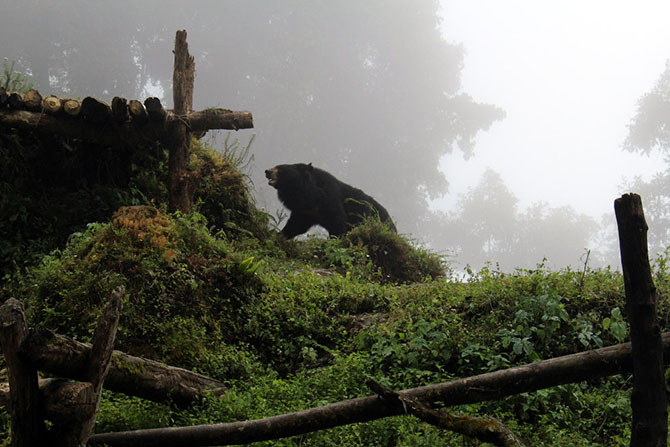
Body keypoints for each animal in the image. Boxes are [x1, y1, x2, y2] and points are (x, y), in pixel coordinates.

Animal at [266, 164, 396, 240]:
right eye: (276, 166)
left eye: (280, 169)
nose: (267, 171)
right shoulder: (305, 211)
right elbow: (296, 225)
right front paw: (278, 234)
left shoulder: (330, 199)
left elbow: (338, 223)